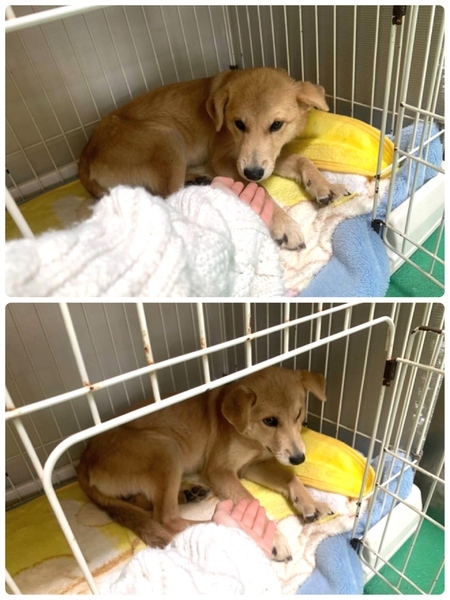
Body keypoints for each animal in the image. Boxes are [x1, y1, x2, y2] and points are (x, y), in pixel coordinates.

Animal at [77, 366, 332, 562]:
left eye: (298, 414)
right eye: (269, 421)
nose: (299, 458)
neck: (248, 436)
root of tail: (84, 457)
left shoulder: (253, 466)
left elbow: (291, 477)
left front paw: (310, 502)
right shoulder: (220, 471)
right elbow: (251, 499)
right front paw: (273, 538)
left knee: (142, 502)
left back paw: (188, 493)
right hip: (166, 448)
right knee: (166, 518)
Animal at [78, 67, 348, 250]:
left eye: (276, 125)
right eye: (239, 124)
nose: (252, 173)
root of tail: (85, 156)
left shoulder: (267, 159)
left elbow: (302, 159)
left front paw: (325, 185)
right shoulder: (226, 161)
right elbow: (260, 190)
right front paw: (284, 223)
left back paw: (197, 178)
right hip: (168, 138)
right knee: (169, 197)